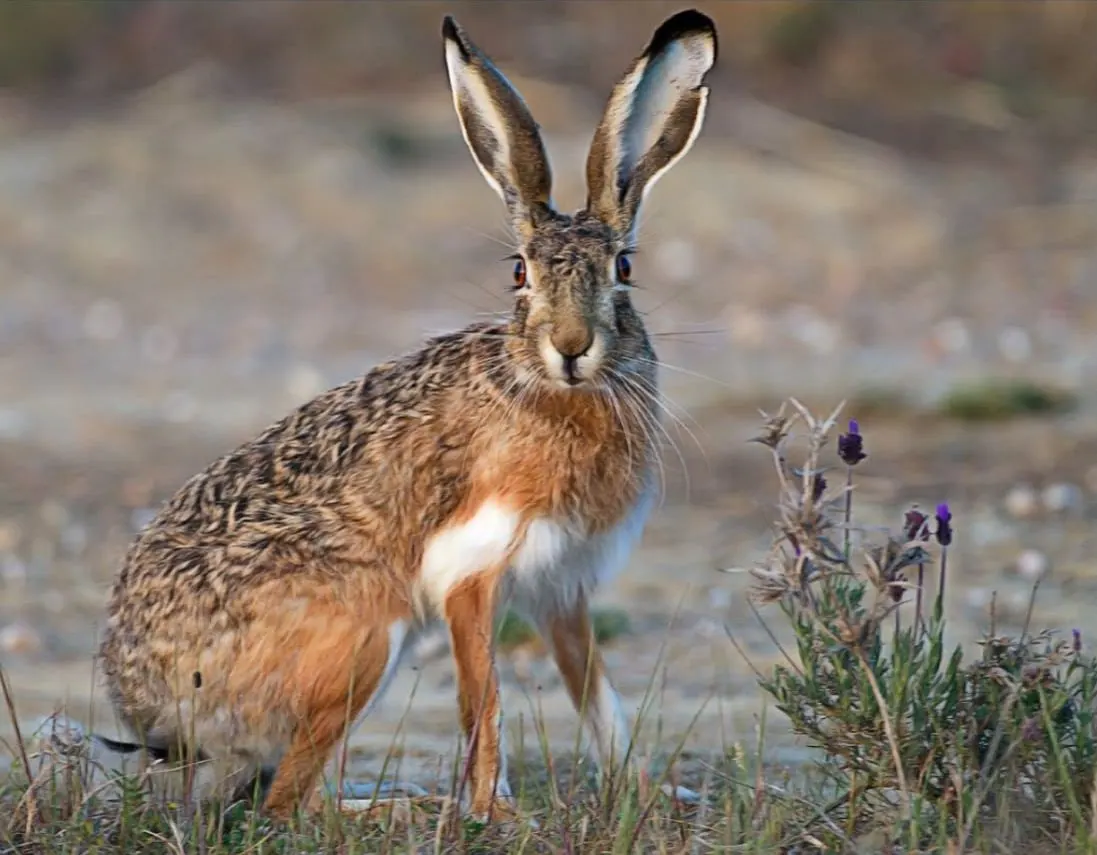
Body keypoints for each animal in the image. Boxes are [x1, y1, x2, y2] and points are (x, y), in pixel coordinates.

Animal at [97, 7, 717, 822]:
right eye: (518, 273)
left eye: (623, 268)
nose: (571, 346)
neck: (548, 390)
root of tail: (155, 716)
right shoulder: (470, 569)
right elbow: (483, 700)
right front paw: (493, 812)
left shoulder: (561, 587)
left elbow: (596, 696)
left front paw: (649, 794)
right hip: (364, 635)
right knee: (289, 804)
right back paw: (399, 807)